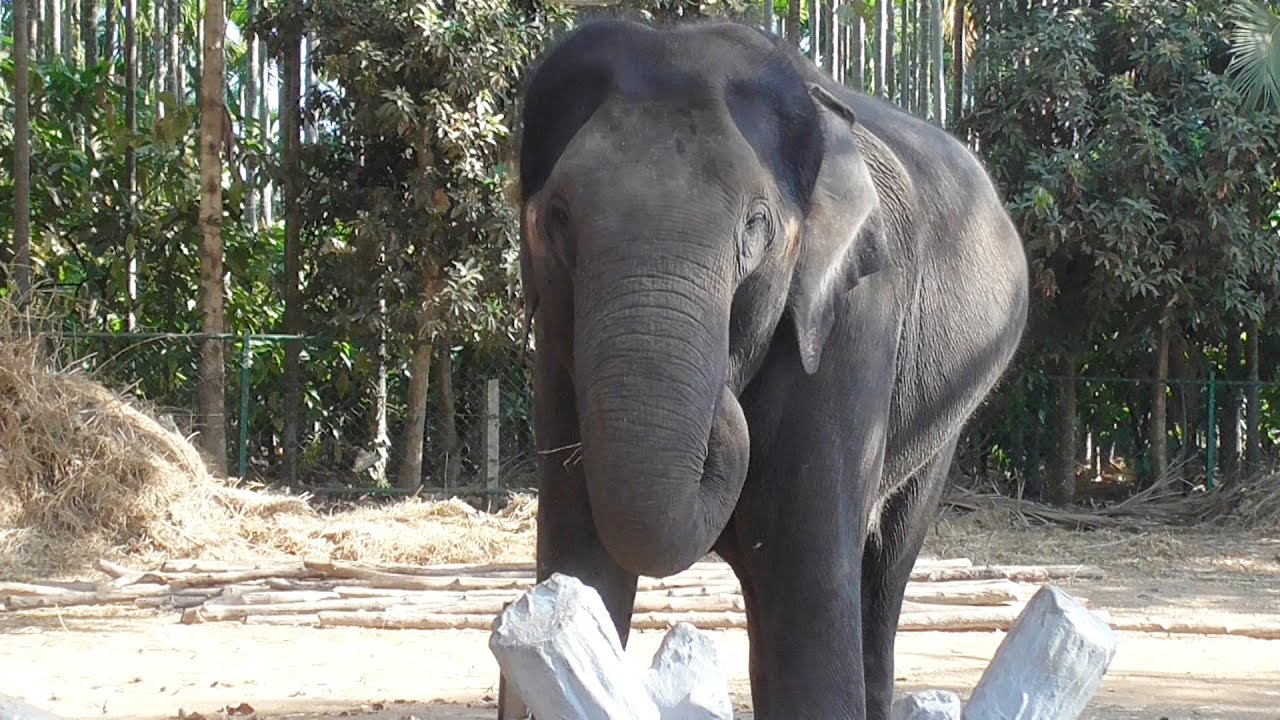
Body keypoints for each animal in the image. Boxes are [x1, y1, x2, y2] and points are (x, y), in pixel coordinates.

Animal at [511, 17, 1029, 720]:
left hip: (947, 414)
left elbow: (802, 583)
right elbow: (580, 558)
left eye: (755, 224)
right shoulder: (557, 350)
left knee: (885, 563)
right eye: (558, 217)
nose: (724, 393)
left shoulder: (854, 316)